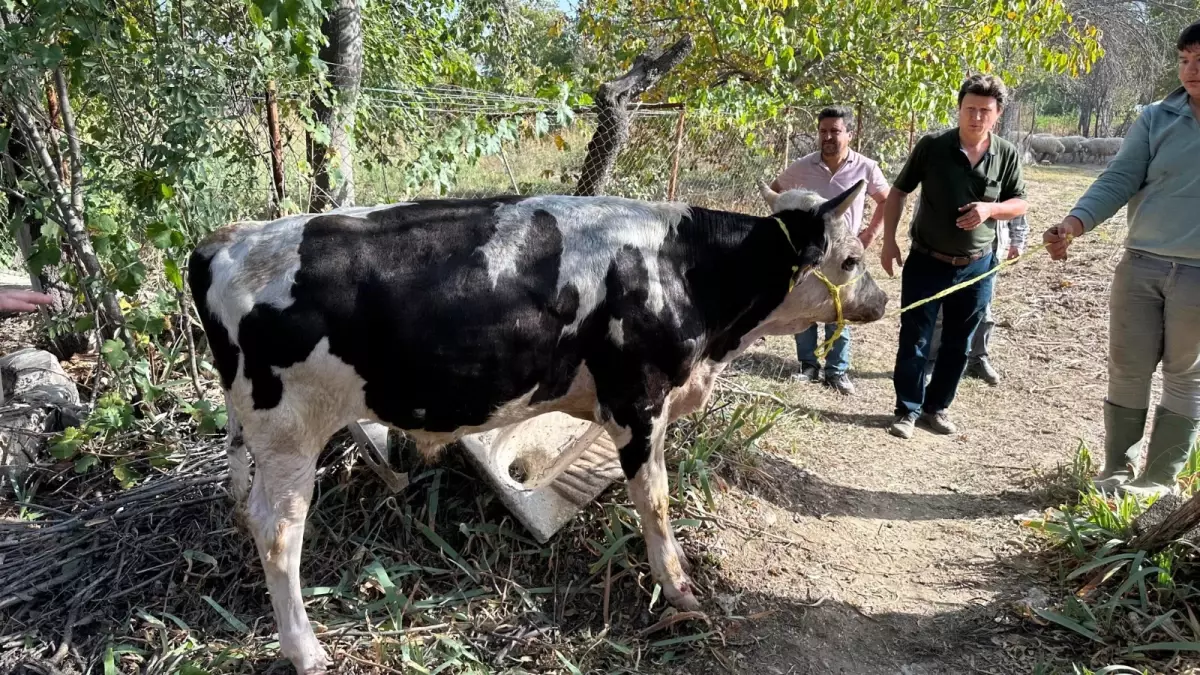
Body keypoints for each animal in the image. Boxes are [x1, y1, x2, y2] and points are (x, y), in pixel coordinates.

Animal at [184, 181, 883, 667]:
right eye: (851, 258)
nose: (881, 298)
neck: (686, 272)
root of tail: (227, 239)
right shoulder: (638, 401)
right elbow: (655, 500)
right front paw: (679, 588)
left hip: (250, 426)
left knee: (242, 492)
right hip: (290, 430)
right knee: (279, 534)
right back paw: (305, 651)